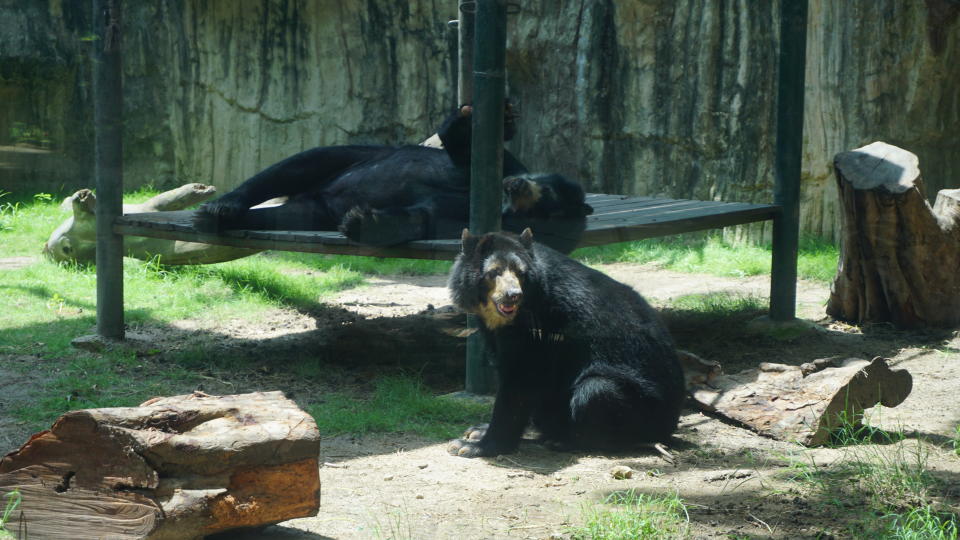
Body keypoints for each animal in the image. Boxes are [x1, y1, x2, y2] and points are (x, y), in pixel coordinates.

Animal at [195, 108, 592, 255]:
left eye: (548, 198)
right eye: (541, 182)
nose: (518, 185)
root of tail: (320, 196)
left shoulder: (474, 224)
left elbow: (423, 217)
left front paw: (364, 222)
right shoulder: (503, 166)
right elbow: (469, 151)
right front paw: (487, 119)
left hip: (311, 211)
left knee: (284, 213)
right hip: (350, 157)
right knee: (298, 164)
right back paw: (222, 206)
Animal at [446, 228, 688, 456]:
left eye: (520, 273)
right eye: (493, 272)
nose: (512, 295)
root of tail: (671, 423)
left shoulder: (541, 322)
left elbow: (522, 377)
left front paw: (473, 447)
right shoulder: (493, 327)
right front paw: (477, 432)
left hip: (644, 409)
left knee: (596, 389)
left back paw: (566, 441)